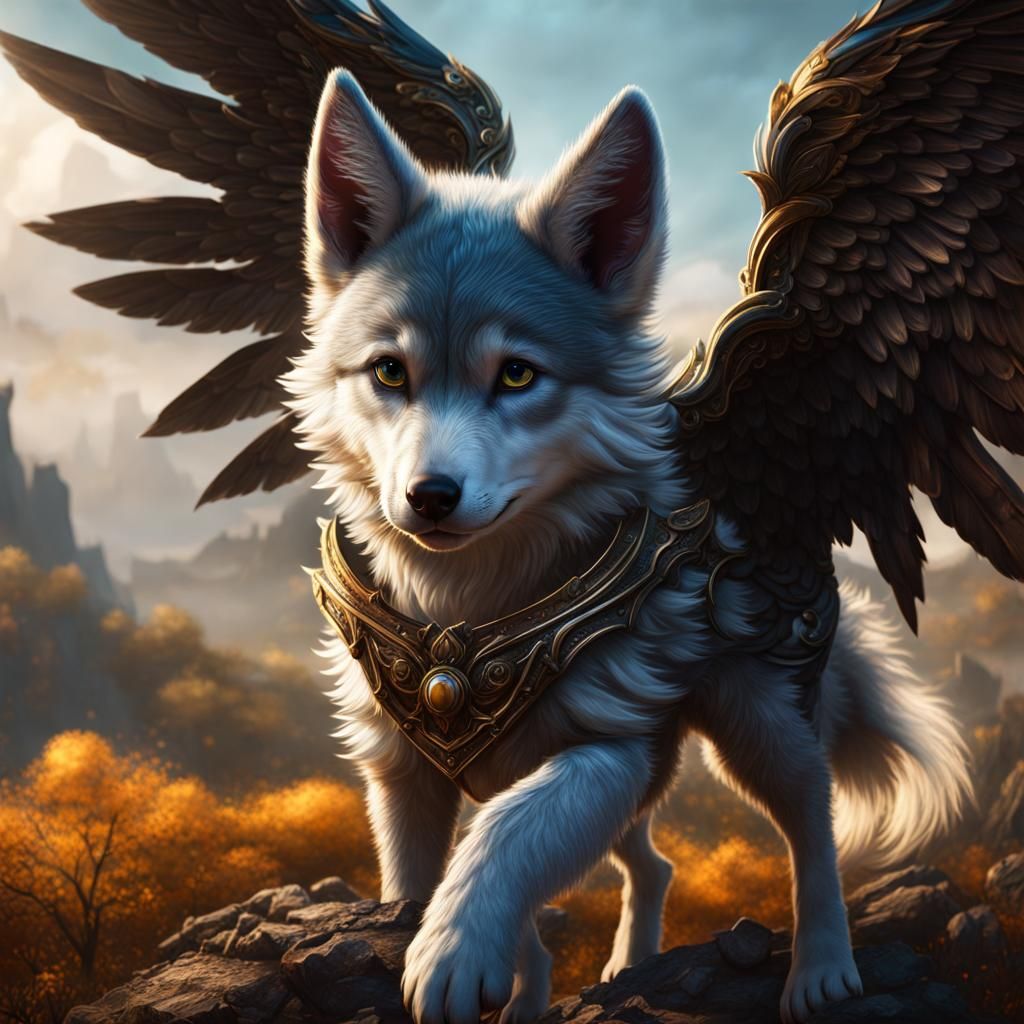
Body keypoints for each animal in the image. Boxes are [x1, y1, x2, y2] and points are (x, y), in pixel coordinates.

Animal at [282, 70, 972, 1024]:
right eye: (390, 371)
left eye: (517, 374)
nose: (430, 498)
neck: (466, 614)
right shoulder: (399, 771)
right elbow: (419, 884)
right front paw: (466, 956)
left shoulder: (605, 748)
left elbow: (503, 835)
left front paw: (453, 952)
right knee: (653, 862)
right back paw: (607, 969)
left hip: (755, 725)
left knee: (812, 823)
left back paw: (823, 971)